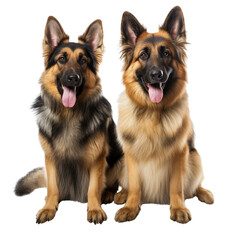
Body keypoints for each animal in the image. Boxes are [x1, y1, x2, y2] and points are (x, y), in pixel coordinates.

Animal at [14, 17, 124, 225]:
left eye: (83, 60)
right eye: (62, 59)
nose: (73, 78)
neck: (69, 115)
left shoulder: (98, 159)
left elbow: (93, 187)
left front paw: (94, 209)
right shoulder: (50, 158)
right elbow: (52, 188)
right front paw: (49, 207)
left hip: (120, 159)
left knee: (112, 183)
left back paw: (107, 194)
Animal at [114, 6, 214, 224]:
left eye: (166, 53)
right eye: (143, 55)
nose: (156, 74)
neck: (152, 113)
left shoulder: (180, 153)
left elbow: (177, 186)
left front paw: (178, 208)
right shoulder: (131, 155)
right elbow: (135, 185)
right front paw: (131, 207)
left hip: (195, 158)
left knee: (194, 186)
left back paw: (204, 192)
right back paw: (122, 194)